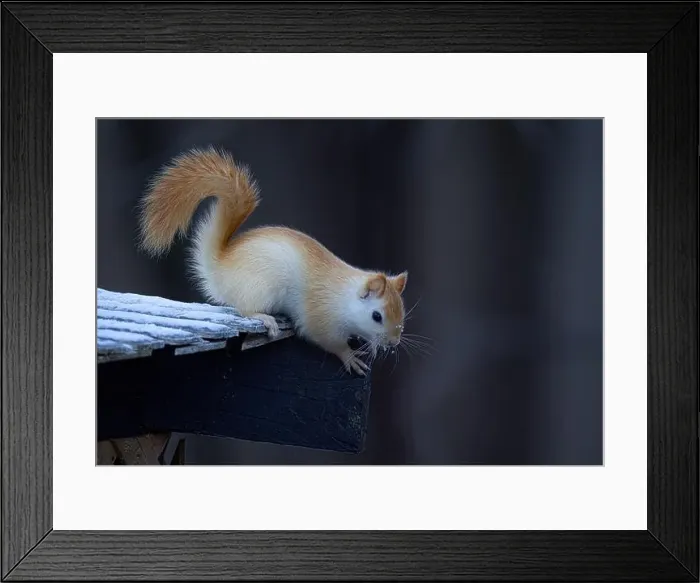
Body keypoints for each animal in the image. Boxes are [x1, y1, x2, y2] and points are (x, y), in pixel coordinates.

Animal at [137, 146, 408, 376]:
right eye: (376, 316)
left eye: (402, 313)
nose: (393, 342)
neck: (343, 296)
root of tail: (220, 267)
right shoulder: (320, 317)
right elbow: (326, 339)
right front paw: (350, 356)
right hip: (259, 288)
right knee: (243, 309)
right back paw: (264, 318)